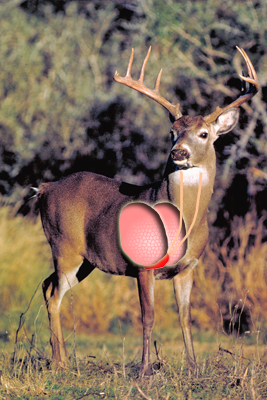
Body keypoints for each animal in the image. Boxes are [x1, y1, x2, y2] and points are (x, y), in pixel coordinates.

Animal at [36, 46, 260, 376]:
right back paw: (61, 364)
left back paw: (58, 359)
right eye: (172, 131)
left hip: (85, 260)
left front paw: (193, 367)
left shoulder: (188, 267)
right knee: (54, 297)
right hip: (64, 246)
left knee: (47, 285)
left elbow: (184, 316)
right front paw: (143, 371)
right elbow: (148, 316)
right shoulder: (144, 265)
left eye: (204, 133)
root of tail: (45, 189)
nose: (178, 152)